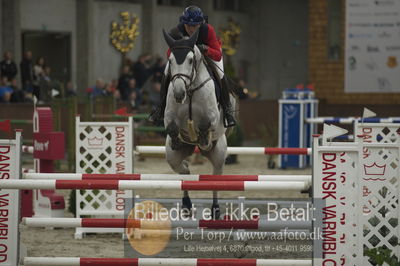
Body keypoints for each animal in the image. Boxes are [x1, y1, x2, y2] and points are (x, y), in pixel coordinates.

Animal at [162, 28, 234, 218]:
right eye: (170, 61)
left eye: (190, 60)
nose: (179, 94)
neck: (190, 89)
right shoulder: (169, 118)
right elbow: (172, 127)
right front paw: (177, 140)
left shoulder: (213, 118)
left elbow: (204, 125)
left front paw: (203, 139)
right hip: (173, 158)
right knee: (184, 171)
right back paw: (187, 205)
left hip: (219, 154)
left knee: (215, 177)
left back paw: (215, 209)